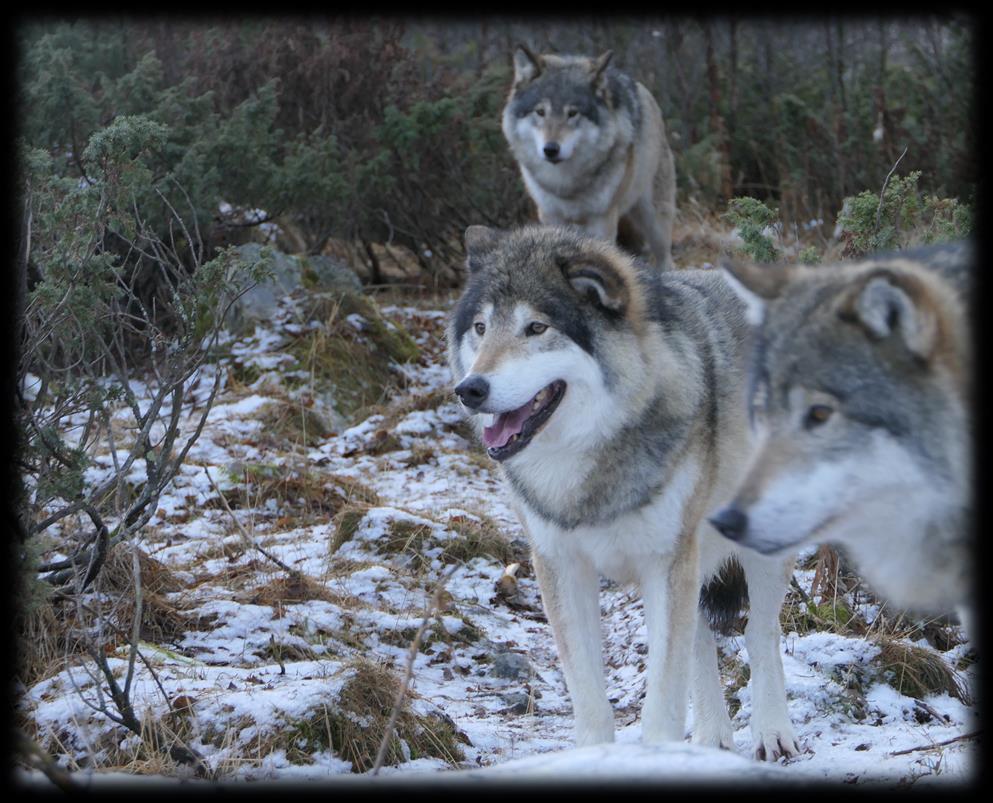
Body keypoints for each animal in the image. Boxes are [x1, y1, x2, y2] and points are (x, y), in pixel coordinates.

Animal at [446, 225, 804, 760]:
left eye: (536, 328)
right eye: (481, 328)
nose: (470, 389)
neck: (586, 457)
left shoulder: (665, 562)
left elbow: (663, 701)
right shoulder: (562, 566)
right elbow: (590, 696)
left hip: (755, 545)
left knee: (761, 632)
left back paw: (771, 735)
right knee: (700, 643)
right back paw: (710, 742)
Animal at [500, 48, 680, 272]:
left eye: (572, 113)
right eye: (540, 112)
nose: (550, 149)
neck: (566, 183)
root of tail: (641, 88)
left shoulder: (602, 220)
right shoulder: (551, 216)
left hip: (654, 219)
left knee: (665, 257)